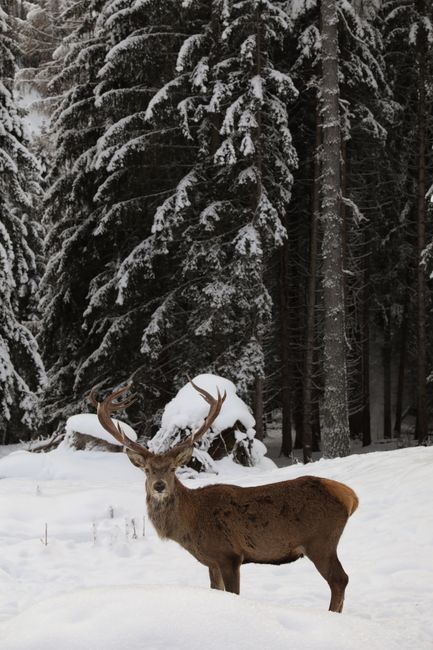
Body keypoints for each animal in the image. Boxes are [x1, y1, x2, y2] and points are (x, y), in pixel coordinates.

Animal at [90, 381, 358, 613]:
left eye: (173, 468)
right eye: (146, 470)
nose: (158, 486)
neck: (191, 523)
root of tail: (350, 496)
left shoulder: (230, 554)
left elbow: (234, 593)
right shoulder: (212, 561)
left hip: (321, 540)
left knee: (340, 579)